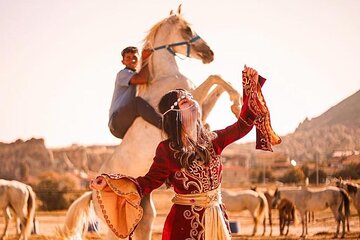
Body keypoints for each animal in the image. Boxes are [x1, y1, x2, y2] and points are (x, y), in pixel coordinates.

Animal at [61, 5, 242, 240]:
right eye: (187, 29)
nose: (209, 54)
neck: (165, 76)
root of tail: (92, 193)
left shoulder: (198, 105)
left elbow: (218, 85)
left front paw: (236, 105)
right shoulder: (190, 100)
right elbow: (215, 78)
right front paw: (237, 103)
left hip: (144, 214)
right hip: (115, 227)